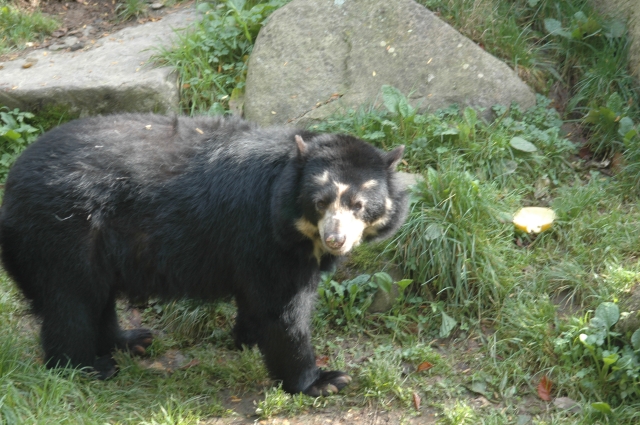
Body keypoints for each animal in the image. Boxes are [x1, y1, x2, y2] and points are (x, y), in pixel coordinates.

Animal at [0, 114, 409, 396]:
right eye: (320, 202)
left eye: (359, 205)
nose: (336, 239)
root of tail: (10, 185)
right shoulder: (266, 236)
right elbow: (283, 311)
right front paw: (322, 380)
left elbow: (256, 301)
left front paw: (246, 339)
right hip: (62, 235)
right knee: (70, 304)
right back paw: (86, 368)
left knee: (97, 299)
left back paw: (131, 341)